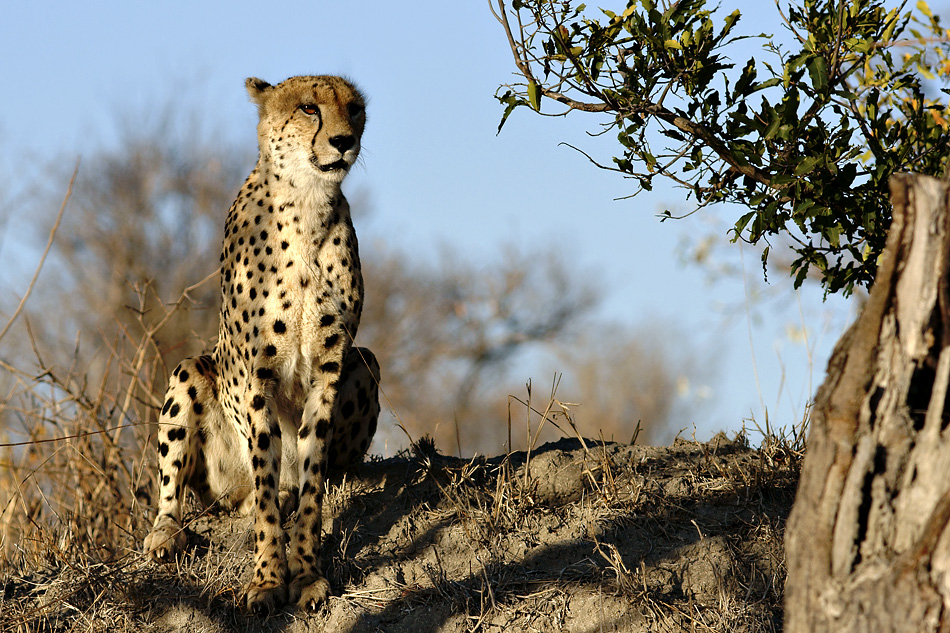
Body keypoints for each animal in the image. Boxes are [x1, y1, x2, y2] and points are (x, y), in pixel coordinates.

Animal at [143, 74, 382, 612]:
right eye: (310, 108)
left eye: (355, 109)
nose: (344, 141)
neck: (308, 205)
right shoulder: (255, 379)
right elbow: (265, 488)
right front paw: (269, 580)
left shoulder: (330, 369)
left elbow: (312, 480)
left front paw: (307, 573)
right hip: (193, 374)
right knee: (186, 490)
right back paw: (166, 533)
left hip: (364, 363)